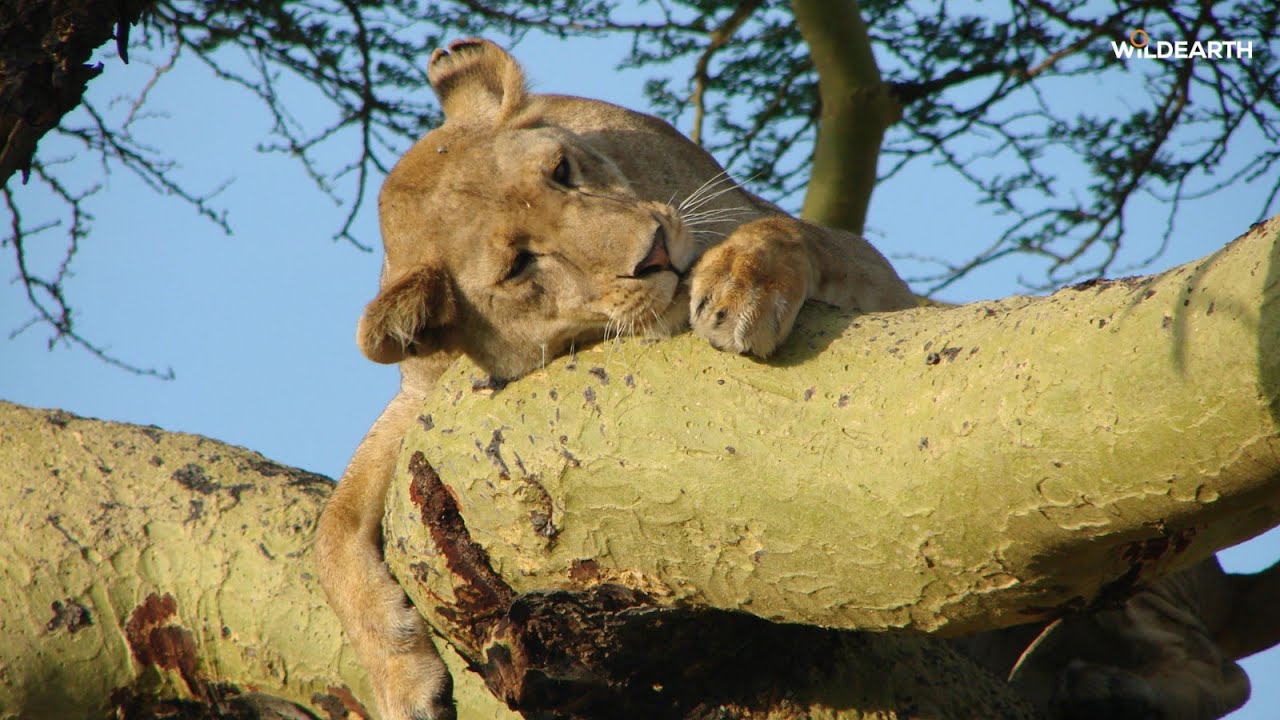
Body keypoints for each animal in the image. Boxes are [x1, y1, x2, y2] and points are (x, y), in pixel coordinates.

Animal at [315, 38, 1276, 720]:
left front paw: (741, 283)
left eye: (561, 170)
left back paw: (1108, 690)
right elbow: (337, 520)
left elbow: (789, 232)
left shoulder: (874, 275)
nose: (655, 253)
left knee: (1219, 668)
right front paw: (401, 680)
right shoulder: (423, 399)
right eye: (519, 265)